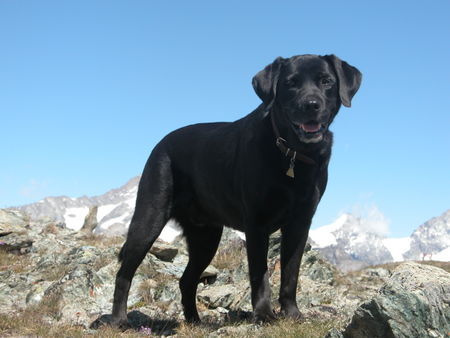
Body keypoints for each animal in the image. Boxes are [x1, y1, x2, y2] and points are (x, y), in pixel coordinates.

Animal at [107, 54, 360, 326]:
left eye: (326, 81)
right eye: (291, 83)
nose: (311, 104)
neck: (291, 154)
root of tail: (160, 143)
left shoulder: (300, 223)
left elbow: (291, 273)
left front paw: (292, 313)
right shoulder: (257, 224)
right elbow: (260, 275)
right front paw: (264, 314)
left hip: (206, 237)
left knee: (187, 280)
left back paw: (195, 321)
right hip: (149, 218)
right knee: (124, 273)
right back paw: (120, 320)